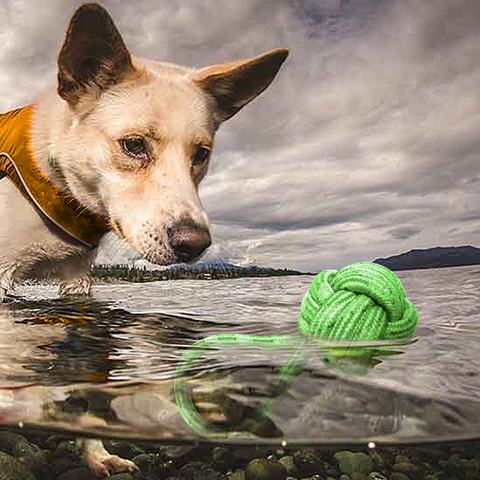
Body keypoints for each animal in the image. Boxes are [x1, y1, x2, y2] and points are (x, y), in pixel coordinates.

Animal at [0, 2, 286, 476]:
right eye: (134, 145)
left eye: (201, 155)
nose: (195, 243)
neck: (58, 184)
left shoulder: (77, 282)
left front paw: (96, 453)